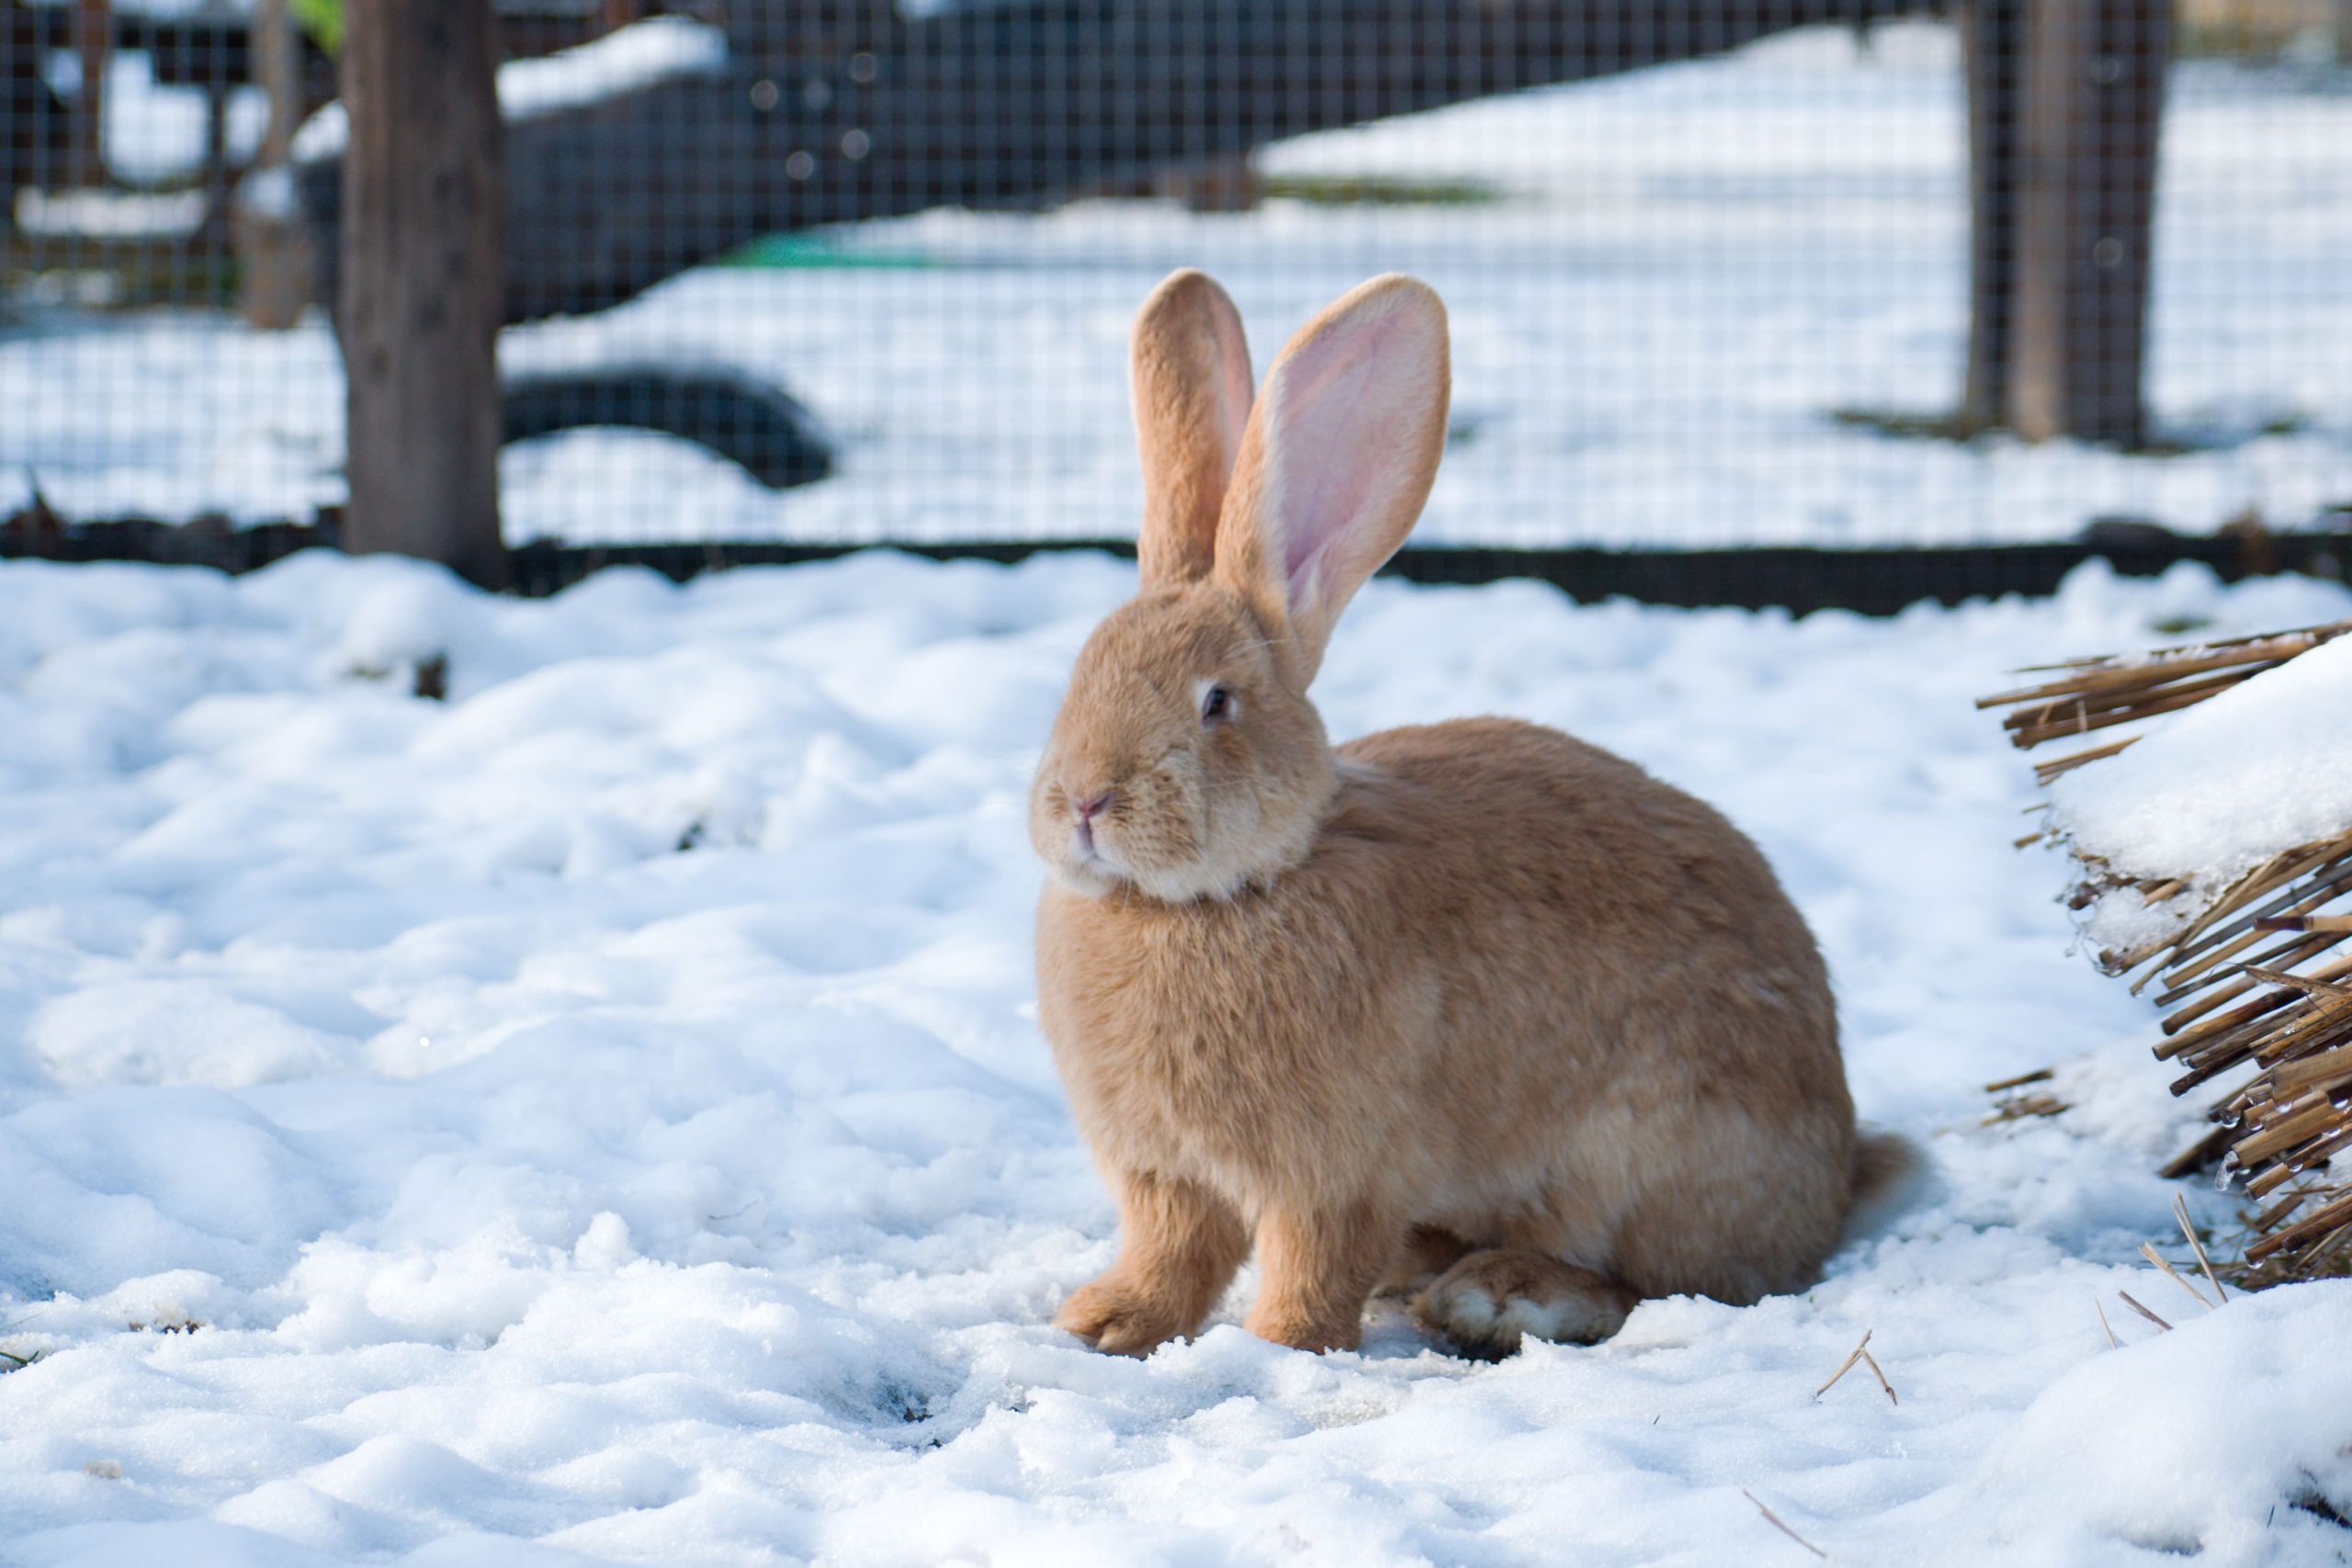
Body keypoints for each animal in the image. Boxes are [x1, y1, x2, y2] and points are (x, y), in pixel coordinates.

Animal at [1035, 270, 1909, 1363]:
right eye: (1078, 673)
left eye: (1216, 703)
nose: (1085, 799)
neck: (1211, 898)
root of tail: (1835, 1173)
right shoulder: (1164, 1175)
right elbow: (1171, 1254)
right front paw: (1106, 1324)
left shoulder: (1337, 1173)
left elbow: (1312, 1261)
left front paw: (1279, 1346)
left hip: (1645, 1158)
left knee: (1667, 1284)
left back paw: (1500, 1295)